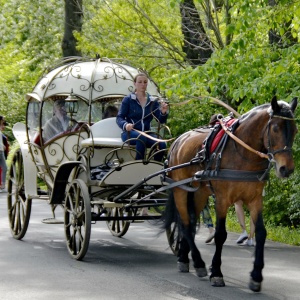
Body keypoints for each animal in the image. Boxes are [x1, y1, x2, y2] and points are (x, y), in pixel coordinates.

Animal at [164, 95, 298, 290]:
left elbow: (261, 233)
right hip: (180, 190)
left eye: (295, 130)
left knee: (191, 220)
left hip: (200, 192)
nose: (286, 169)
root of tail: (178, 141)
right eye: (275, 128)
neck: (242, 153)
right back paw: (198, 262)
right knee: (186, 224)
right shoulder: (222, 200)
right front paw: (216, 272)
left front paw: (256, 275)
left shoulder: (255, 200)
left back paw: (185, 258)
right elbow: (221, 234)